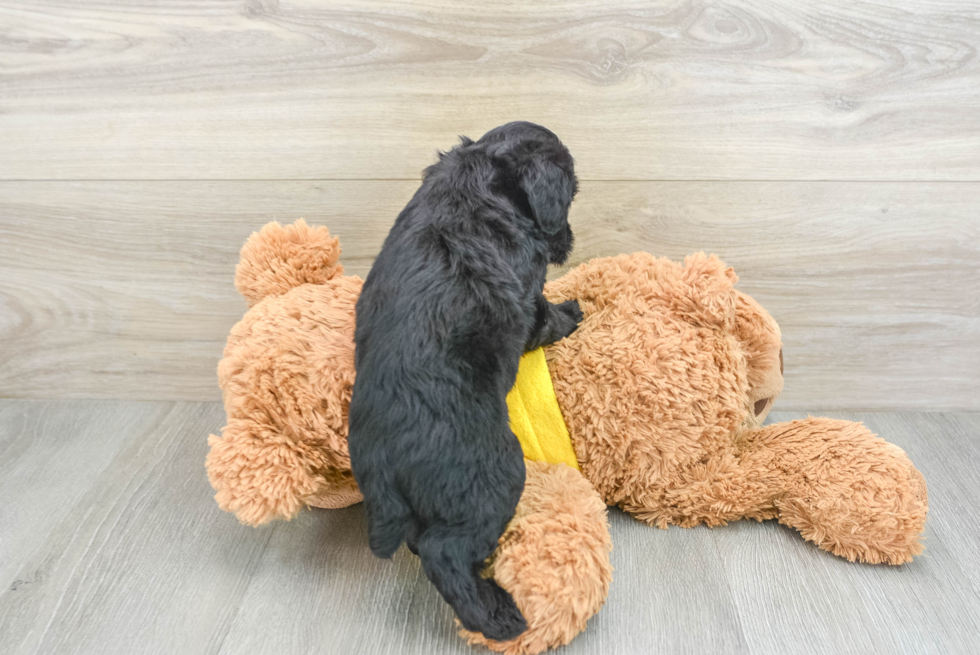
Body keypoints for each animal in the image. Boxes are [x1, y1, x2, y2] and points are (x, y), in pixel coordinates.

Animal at [348, 123, 580, 640]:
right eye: (571, 194)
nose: (567, 239)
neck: (479, 173)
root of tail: (380, 463)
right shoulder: (529, 290)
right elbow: (546, 315)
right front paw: (573, 313)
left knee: (426, 540)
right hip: (494, 475)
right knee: (444, 552)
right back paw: (497, 616)